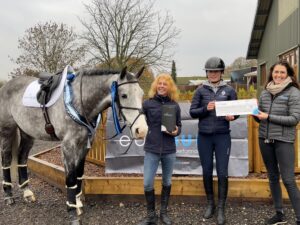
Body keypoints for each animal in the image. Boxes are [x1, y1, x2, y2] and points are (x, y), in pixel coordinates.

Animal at [0, 66, 148, 224]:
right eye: (124, 95)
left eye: (141, 94)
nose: (141, 130)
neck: (78, 101)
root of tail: (6, 86)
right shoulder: (68, 146)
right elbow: (71, 178)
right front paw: (72, 213)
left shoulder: (84, 146)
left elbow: (79, 174)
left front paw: (77, 203)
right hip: (7, 131)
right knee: (6, 159)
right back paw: (8, 195)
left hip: (27, 133)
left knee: (22, 157)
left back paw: (26, 192)